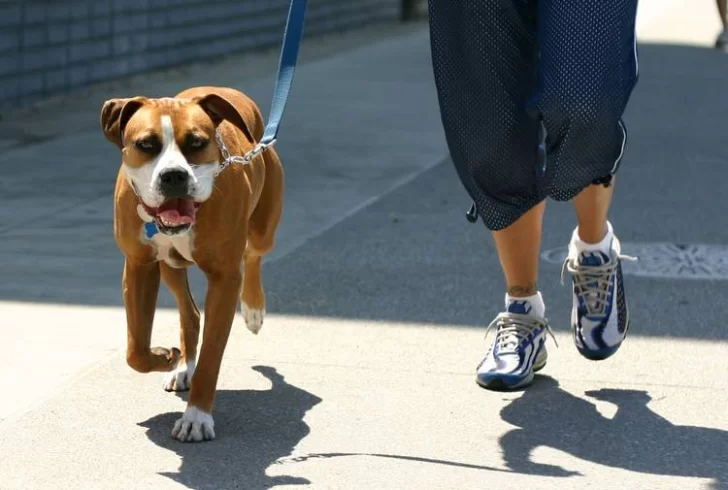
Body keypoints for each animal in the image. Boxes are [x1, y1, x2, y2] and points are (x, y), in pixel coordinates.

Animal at [99, 86, 284, 442]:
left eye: (197, 143)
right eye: (146, 144)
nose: (174, 175)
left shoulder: (225, 278)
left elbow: (212, 355)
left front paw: (197, 417)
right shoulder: (138, 266)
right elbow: (135, 350)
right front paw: (165, 357)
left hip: (262, 229)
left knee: (253, 254)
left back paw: (254, 309)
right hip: (169, 266)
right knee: (190, 313)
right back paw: (183, 365)